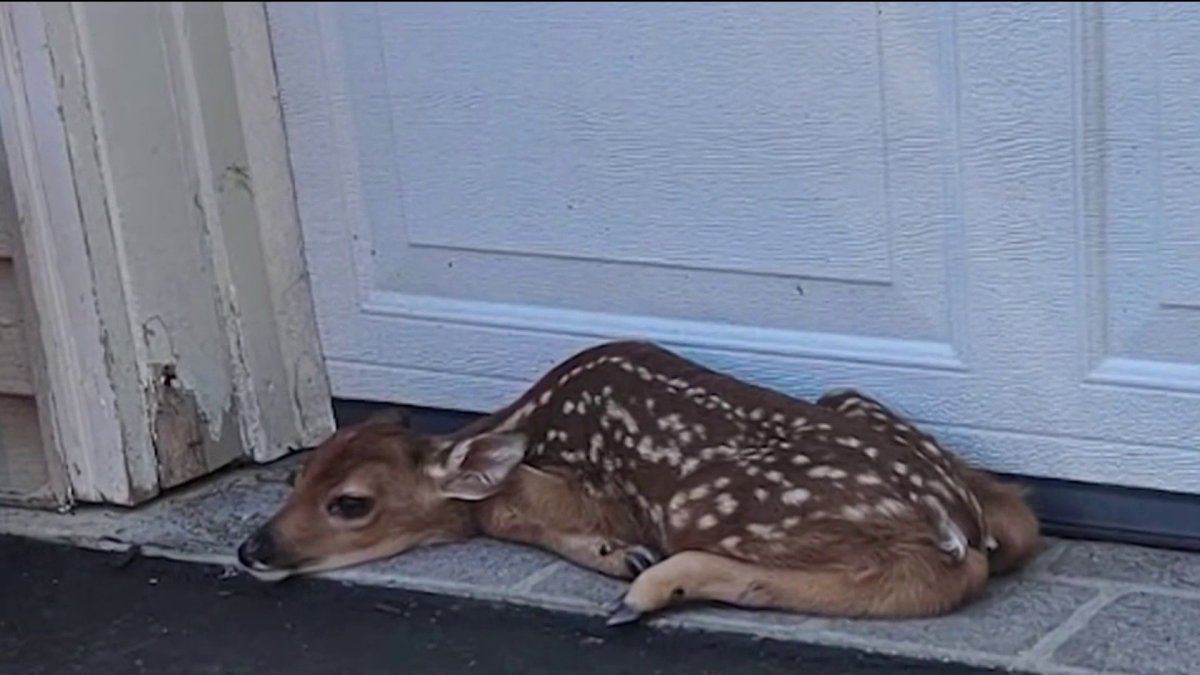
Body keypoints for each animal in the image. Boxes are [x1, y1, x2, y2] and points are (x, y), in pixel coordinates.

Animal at [237, 340, 1039, 625]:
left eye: (351, 503)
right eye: (296, 475)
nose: (252, 548)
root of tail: (956, 519)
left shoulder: (606, 488)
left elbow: (502, 509)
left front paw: (622, 558)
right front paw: (618, 557)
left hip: (707, 502)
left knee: (920, 579)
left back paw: (649, 590)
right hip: (848, 395)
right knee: (1015, 523)